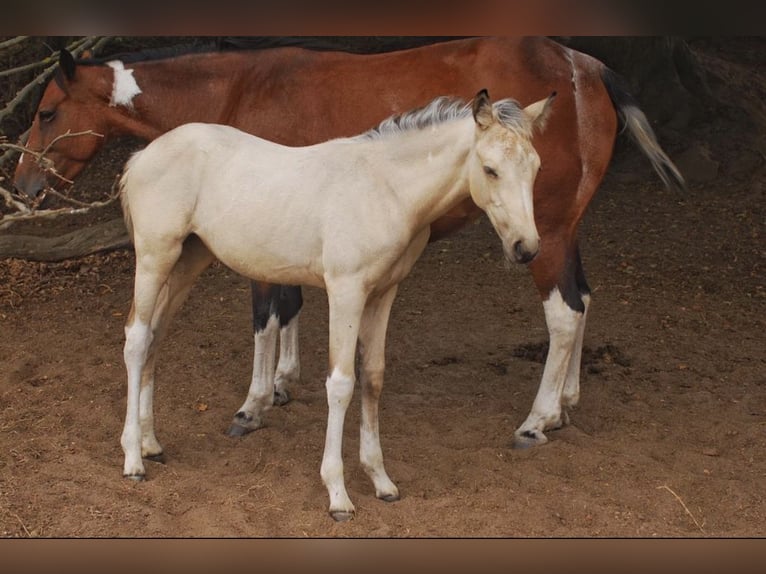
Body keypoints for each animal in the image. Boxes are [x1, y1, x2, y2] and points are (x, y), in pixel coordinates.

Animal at [13, 37, 685, 448]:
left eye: (46, 113)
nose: (20, 184)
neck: (237, 90)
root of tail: (584, 64)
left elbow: (266, 313)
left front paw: (254, 402)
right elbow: (291, 306)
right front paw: (285, 381)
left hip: (545, 235)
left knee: (563, 313)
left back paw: (538, 418)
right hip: (561, 231)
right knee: (583, 301)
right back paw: (567, 400)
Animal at [118, 90, 553, 520]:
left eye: (535, 168)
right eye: (490, 169)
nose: (526, 249)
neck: (385, 190)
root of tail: (144, 155)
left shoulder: (383, 293)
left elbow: (373, 377)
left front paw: (381, 481)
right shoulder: (346, 291)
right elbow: (341, 383)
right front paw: (338, 494)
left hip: (189, 261)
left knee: (156, 337)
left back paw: (151, 444)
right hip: (155, 257)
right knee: (137, 339)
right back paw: (133, 460)